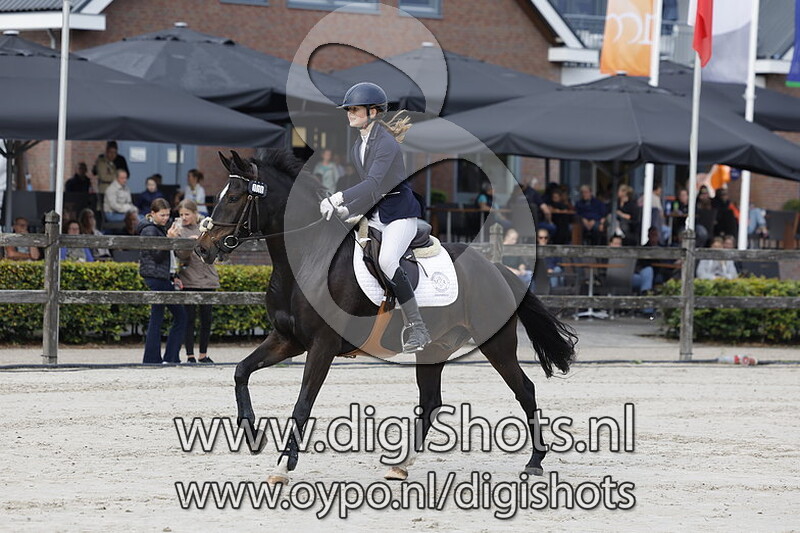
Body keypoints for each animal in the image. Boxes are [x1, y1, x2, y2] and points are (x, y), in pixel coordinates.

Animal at [195, 150, 577, 484]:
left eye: (235, 197)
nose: (202, 248)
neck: (306, 259)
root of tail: (494, 267)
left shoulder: (321, 346)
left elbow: (302, 404)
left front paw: (282, 467)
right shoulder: (286, 339)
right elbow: (241, 372)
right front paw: (253, 435)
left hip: (495, 342)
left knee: (524, 389)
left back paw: (535, 461)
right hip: (434, 348)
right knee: (431, 402)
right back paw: (401, 465)